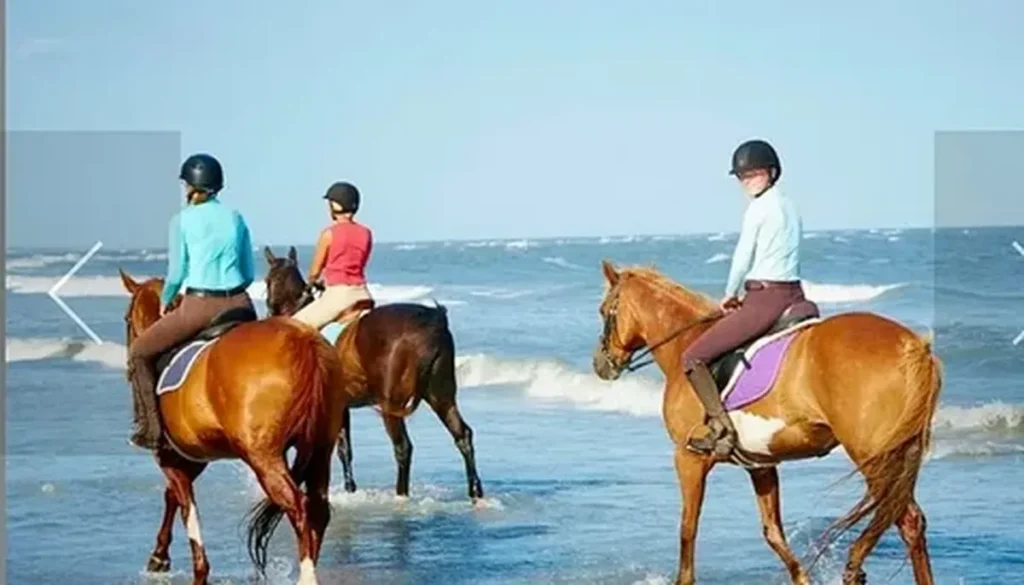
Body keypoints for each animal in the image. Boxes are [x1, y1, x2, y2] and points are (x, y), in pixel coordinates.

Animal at [118, 269, 354, 585]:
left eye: (126, 319)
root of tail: (305, 342)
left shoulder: (171, 459)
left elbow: (187, 510)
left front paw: (195, 570)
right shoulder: (192, 458)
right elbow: (173, 498)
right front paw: (159, 556)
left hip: (264, 458)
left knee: (299, 508)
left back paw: (306, 576)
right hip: (320, 448)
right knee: (318, 508)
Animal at [261, 246, 484, 503]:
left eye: (267, 281)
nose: (268, 313)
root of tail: (433, 322)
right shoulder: (340, 406)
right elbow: (344, 448)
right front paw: (349, 489)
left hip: (393, 404)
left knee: (403, 447)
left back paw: (401, 496)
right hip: (441, 396)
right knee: (462, 434)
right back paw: (476, 493)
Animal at [591, 260, 942, 585]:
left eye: (604, 310)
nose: (599, 365)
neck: (685, 342)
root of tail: (914, 346)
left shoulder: (688, 457)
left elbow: (687, 528)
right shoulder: (760, 464)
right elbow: (773, 532)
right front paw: (802, 578)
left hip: (874, 456)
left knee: (905, 518)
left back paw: (854, 565)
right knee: (910, 521)